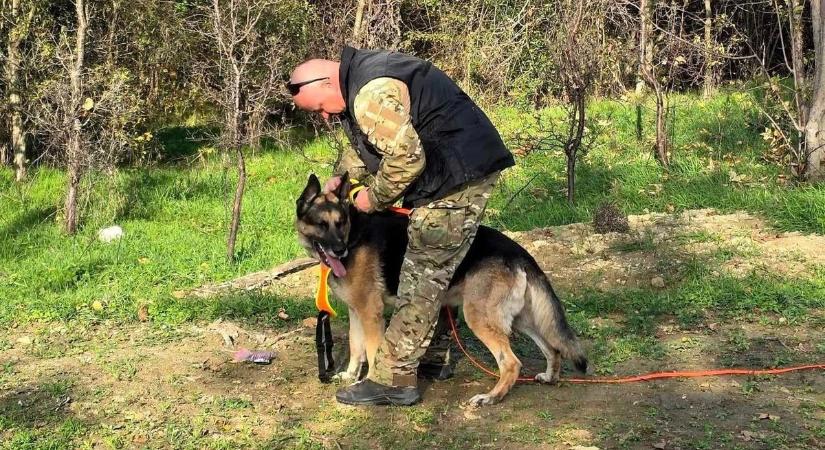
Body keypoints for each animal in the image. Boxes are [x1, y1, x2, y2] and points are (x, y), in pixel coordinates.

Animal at [296, 174, 584, 406]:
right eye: (322, 225)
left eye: (340, 223)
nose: (339, 250)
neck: (354, 234)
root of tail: (519, 253)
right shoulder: (356, 312)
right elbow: (356, 347)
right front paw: (350, 375)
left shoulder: (370, 313)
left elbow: (372, 350)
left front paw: (369, 384)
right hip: (521, 319)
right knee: (552, 347)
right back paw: (549, 376)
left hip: (479, 317)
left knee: (511, 363)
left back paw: (491, 397)